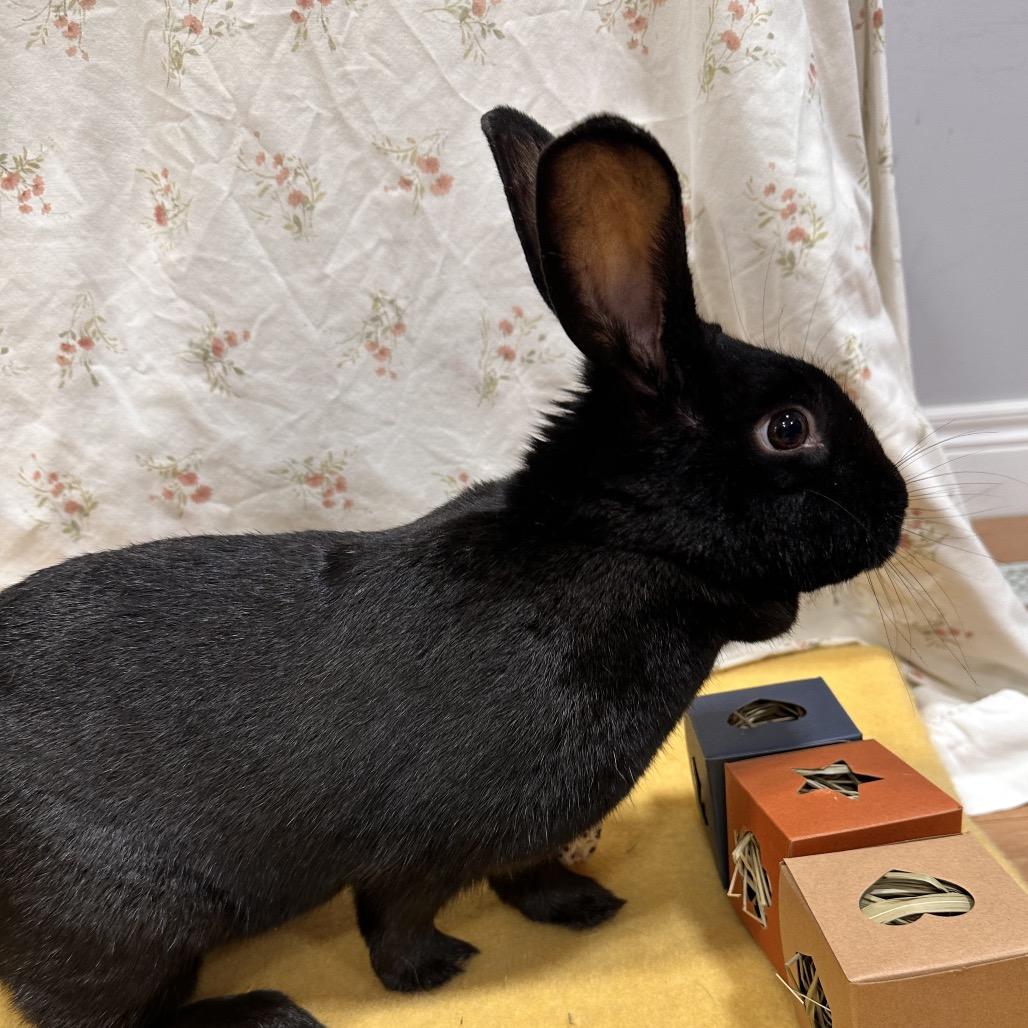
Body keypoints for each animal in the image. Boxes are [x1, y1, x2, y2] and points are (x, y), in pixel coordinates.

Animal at [0, 107, 908, 1028]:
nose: (900, 506)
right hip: (138, 919)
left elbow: (527, 875)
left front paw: (582, 904)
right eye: (789, 428)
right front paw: (433, 970)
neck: (611, 545)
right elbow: (397, 915)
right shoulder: (423, 844)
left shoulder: (522, 834)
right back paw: (267, 1009)